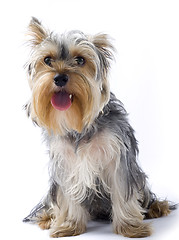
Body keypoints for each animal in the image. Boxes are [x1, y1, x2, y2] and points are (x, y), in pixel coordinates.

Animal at [23, 17, 176, 237]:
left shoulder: (118, 157)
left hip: (140, 179)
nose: (60, 77)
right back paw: (47, 218)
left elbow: (122, 190)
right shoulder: (65, 164)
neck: (80, 126)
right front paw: (69, 225)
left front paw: (130, 228)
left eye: (80, 60)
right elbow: (67, 197)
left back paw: (157, 208)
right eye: (47, 60)